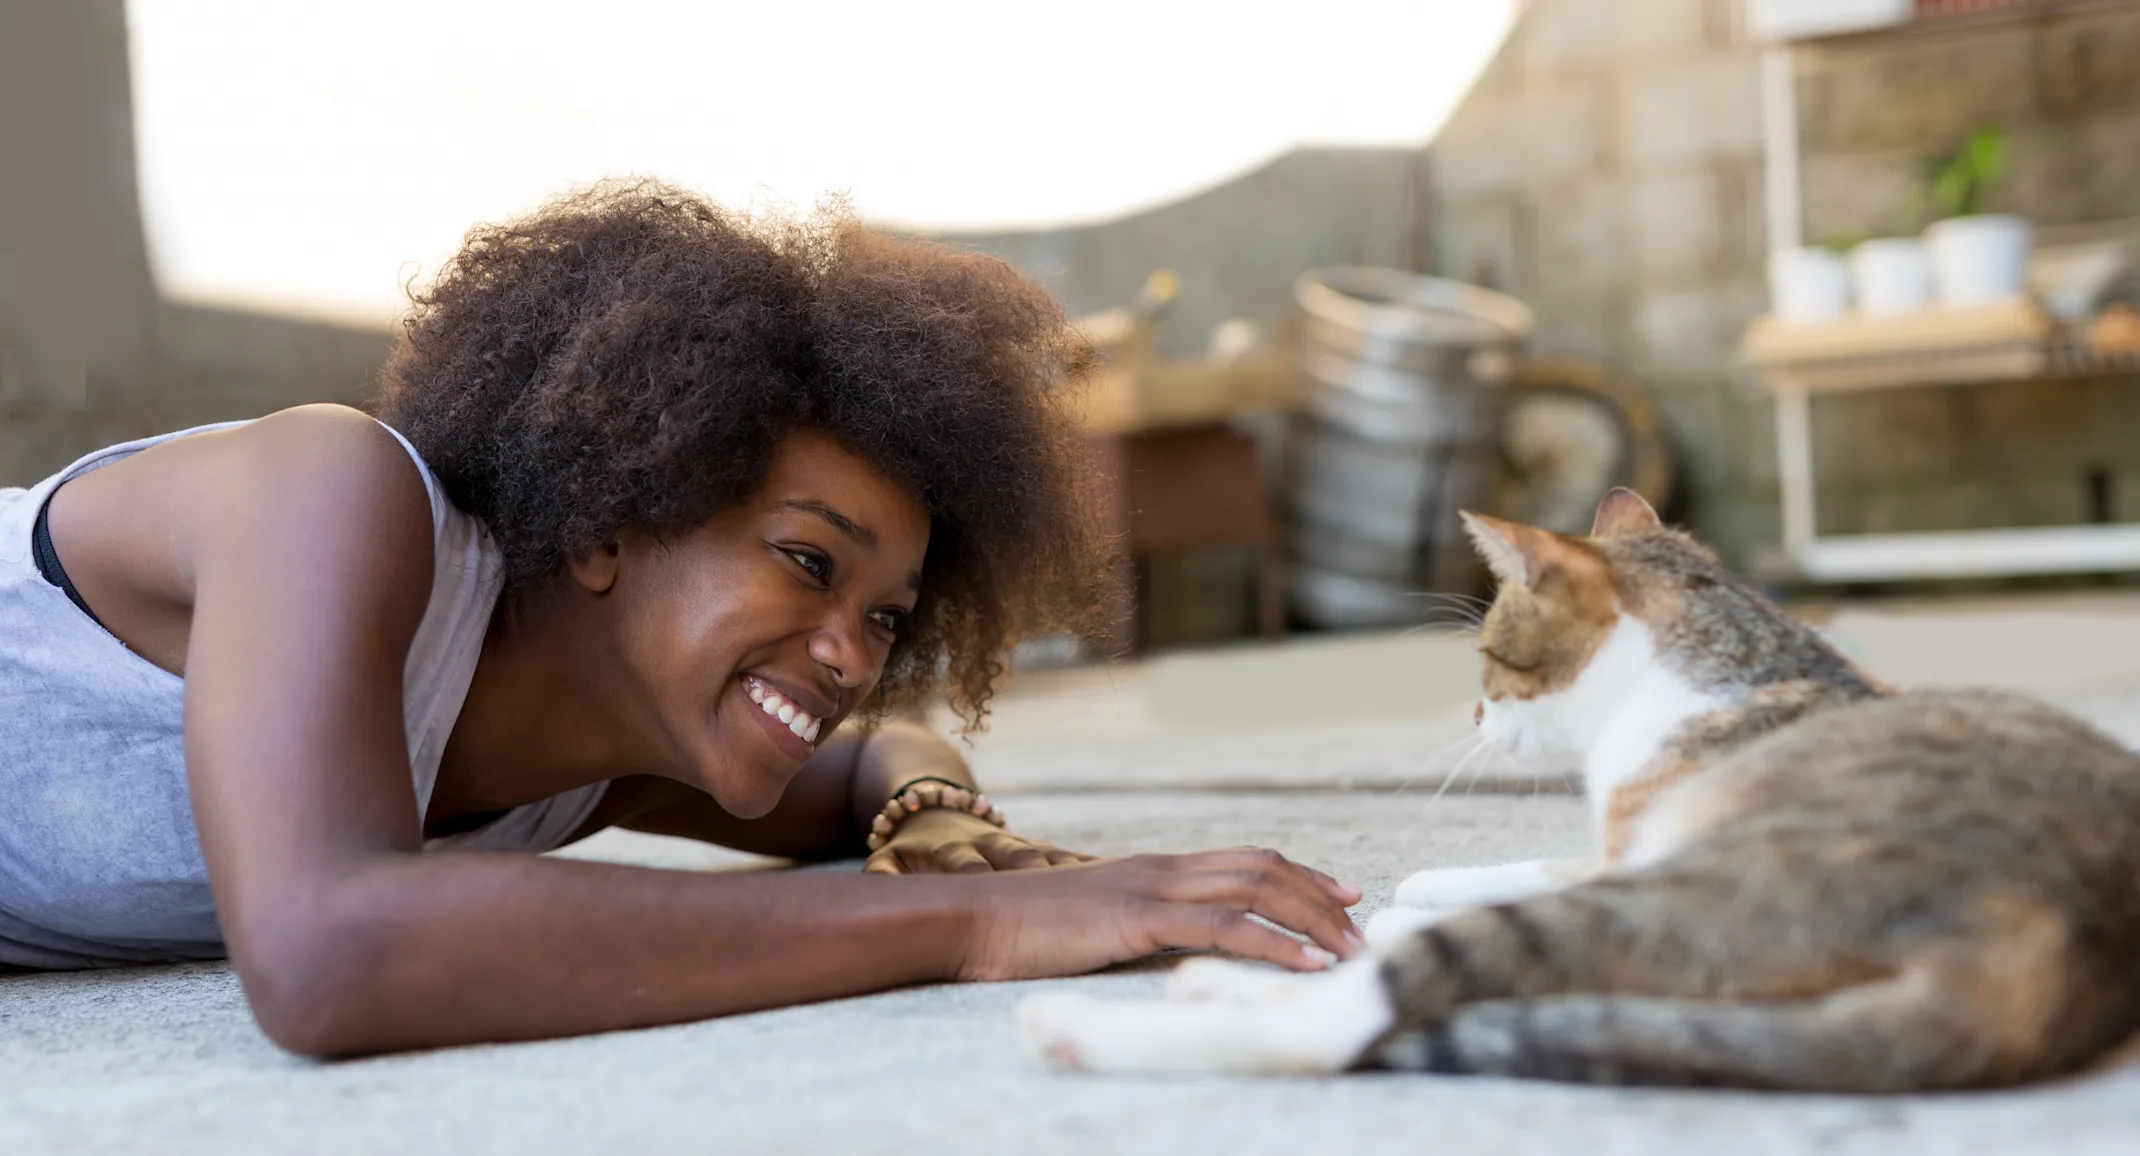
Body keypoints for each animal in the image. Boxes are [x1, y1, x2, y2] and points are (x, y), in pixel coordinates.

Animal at [1010, 488, 2140, 1091]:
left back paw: (1116, 1022)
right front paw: (1412, 885)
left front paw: (1395, 904)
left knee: (1369, 1007)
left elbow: (1479, 890)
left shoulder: (1628, 849)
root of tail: (2060, 950)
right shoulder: (1614, 843)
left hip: (1715, 891)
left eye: (1489, 657)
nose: (1472, 717)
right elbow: (1506, 863)